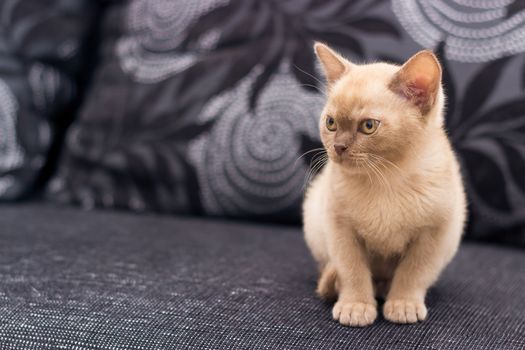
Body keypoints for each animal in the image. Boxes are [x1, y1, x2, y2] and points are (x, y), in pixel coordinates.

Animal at [302, 42, 466, 326]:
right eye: (331, 123)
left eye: (368, 126)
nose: (338, 147)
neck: (386, 177)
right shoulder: (340, 227)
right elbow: (353, 270)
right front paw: (356, 306)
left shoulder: (434, 232)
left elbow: (413, 272)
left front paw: (402, 304)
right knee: (332, 268)